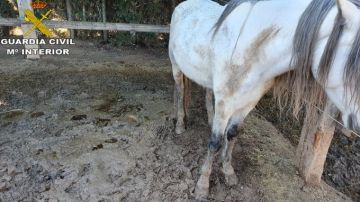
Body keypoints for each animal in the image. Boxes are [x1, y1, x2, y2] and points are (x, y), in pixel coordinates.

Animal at [169, 0, 360, 200]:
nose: (357, 126)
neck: (250, 51)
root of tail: (182, 5)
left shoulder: (248, 103)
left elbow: (232, 134)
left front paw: (228, 171)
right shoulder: (225, 103)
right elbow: (215, 142)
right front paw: (202, 185)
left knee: (206, 93)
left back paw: (206, 119)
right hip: (176, 66)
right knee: (180, 91)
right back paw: (180, 124)